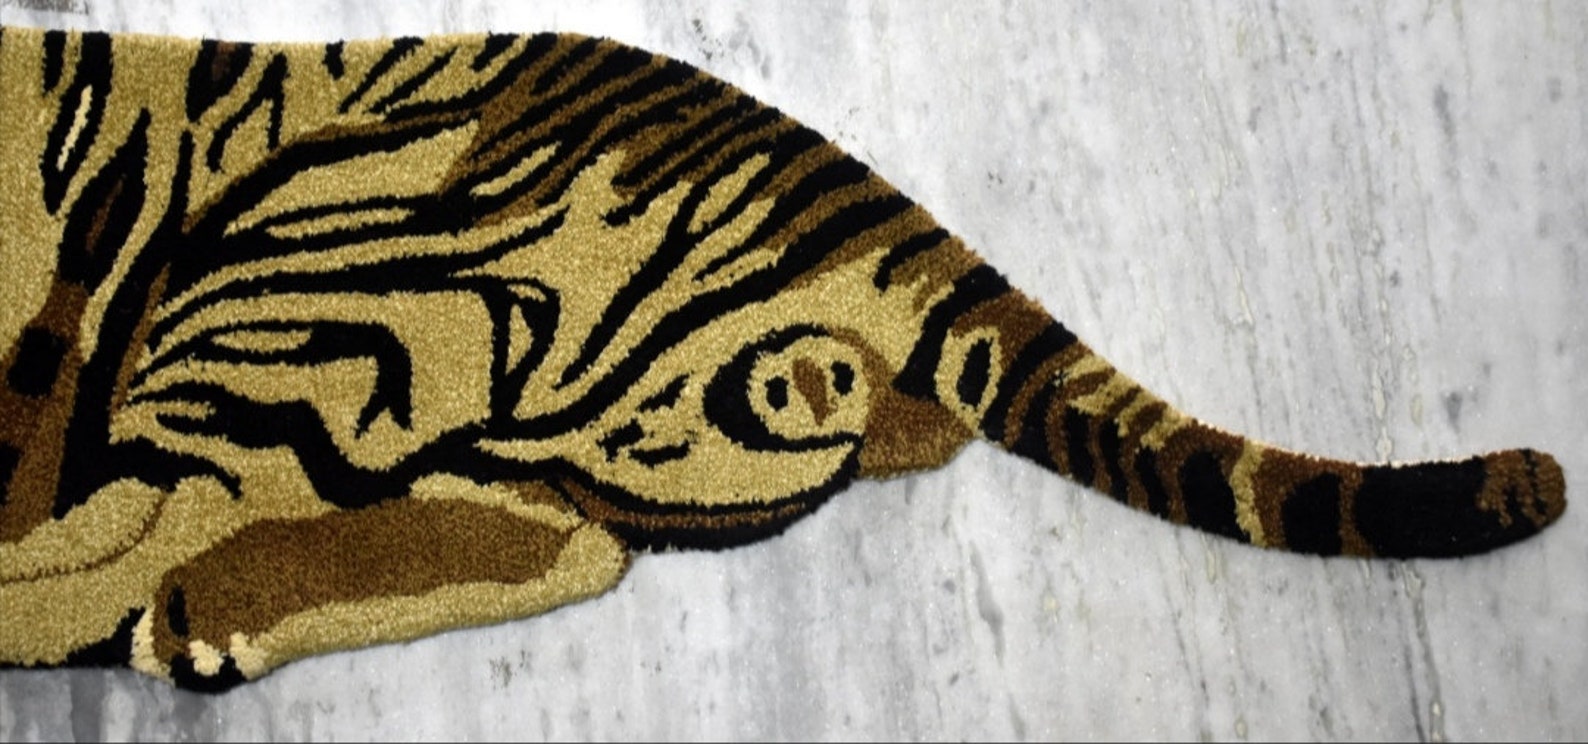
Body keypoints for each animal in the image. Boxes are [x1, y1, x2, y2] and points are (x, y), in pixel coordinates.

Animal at [0, 26, 1566, 692]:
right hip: (591, 426)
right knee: (569, 542)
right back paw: (210, 619)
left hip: (295, 273)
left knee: (144, 523)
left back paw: (155, 612)